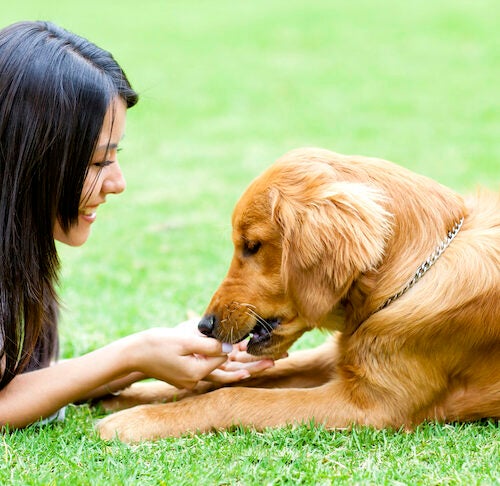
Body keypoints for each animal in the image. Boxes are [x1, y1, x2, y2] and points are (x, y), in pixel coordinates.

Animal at [97, 149, 500, 444]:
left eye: (252, 246)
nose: (203, 326)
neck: (413, 270)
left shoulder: (374, 406)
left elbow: (234, 396)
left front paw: (135, 420)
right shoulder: (337, 356)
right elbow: (219, 381)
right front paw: (130, 395)